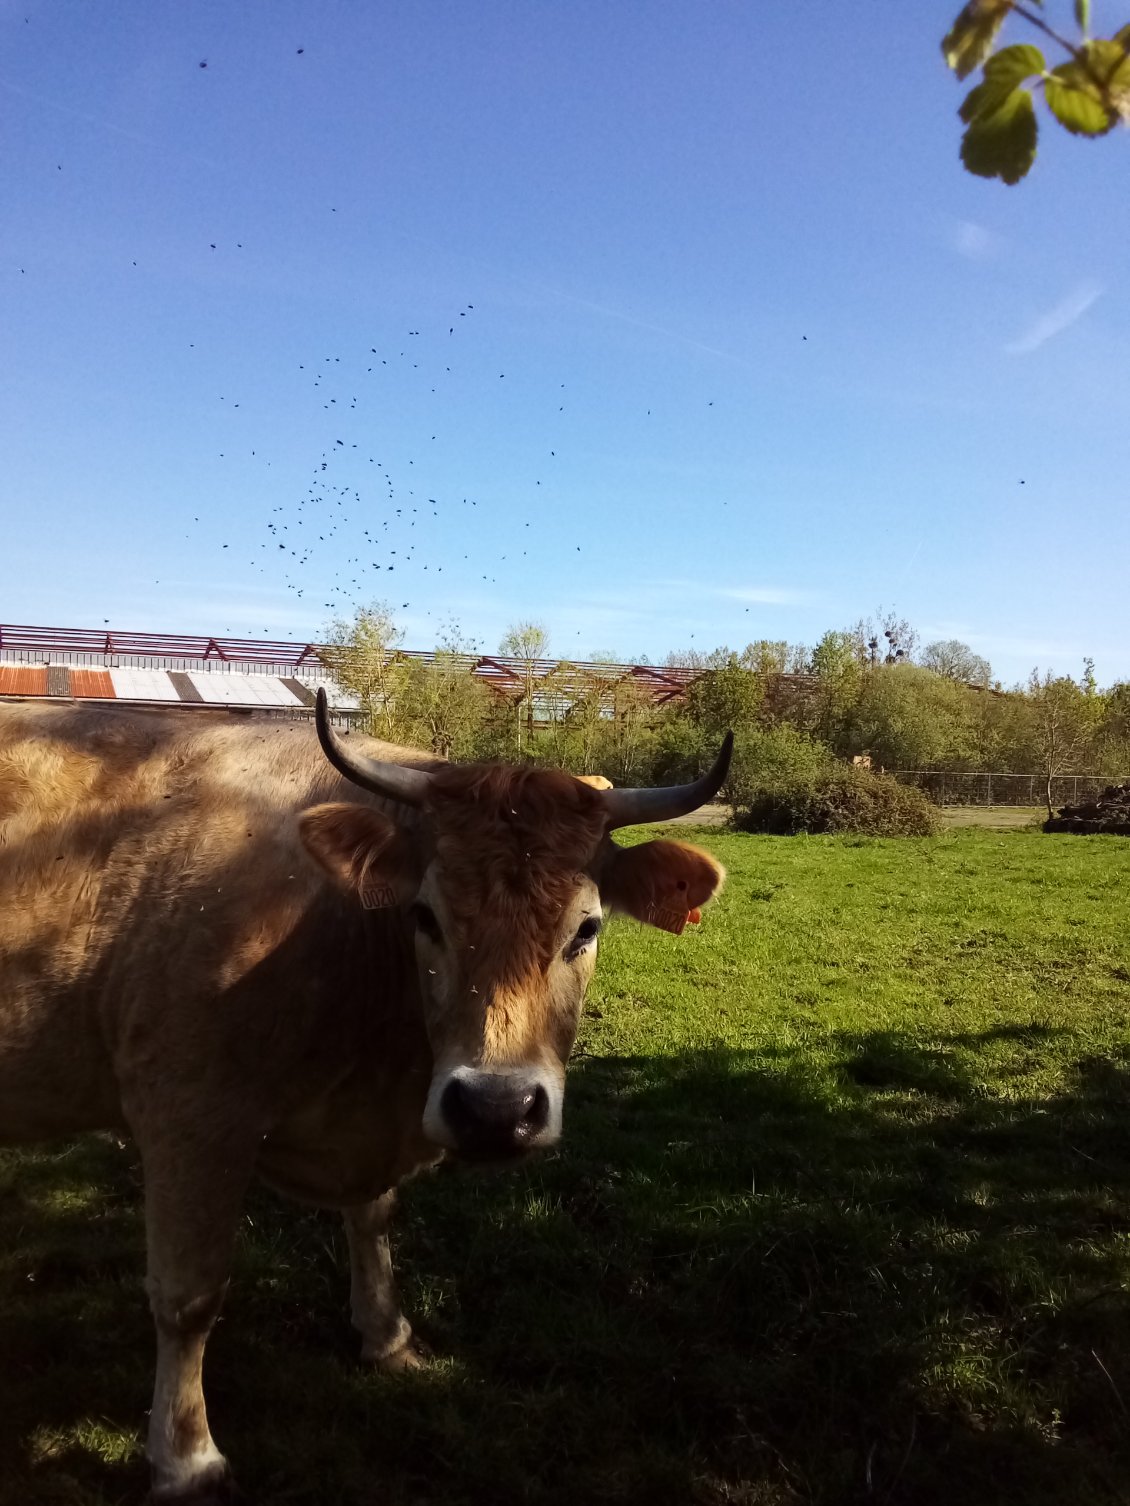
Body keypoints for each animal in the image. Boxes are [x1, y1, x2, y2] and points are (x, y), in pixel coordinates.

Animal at [0, 689, 729, 1493]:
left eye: (588, 928)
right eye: (424, 915)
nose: (496, 1111)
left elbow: (372, 1219)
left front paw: (387, 1336)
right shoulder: (187, 1114)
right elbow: (189, 1294)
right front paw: (187, 1457)